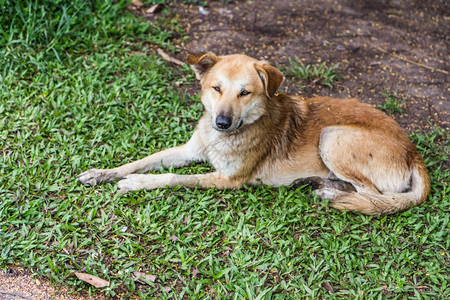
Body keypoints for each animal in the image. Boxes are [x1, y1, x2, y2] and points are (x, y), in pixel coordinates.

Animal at [77, 52, 428, 214]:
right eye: (216, 88)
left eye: (245, 93)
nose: (221, 122)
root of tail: (414, 153)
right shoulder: (189, 151)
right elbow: (140, 161)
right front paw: (102, 173)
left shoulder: (228, 180)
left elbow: (172, 178)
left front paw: (136, 183)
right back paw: (324, 186)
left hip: (333, 136)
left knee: (376, 196)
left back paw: (333, 195)